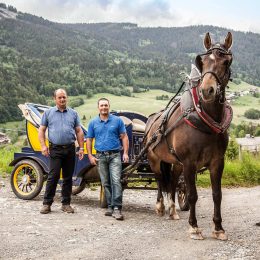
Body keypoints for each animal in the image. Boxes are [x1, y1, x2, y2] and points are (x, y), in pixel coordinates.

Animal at [144, 32, 234, 240]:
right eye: (202, 61)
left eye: (226, 62)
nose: (207, 90)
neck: (205, 120)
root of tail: (152, 120)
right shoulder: (190, 162)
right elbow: (192, 195)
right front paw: (194, 227)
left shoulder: (217, 162)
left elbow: (217, 194)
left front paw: (218, 228)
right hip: (154, 159)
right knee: (160, 180)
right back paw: (161, 206)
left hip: (177, 163)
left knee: (172, 182)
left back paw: (172, 210)